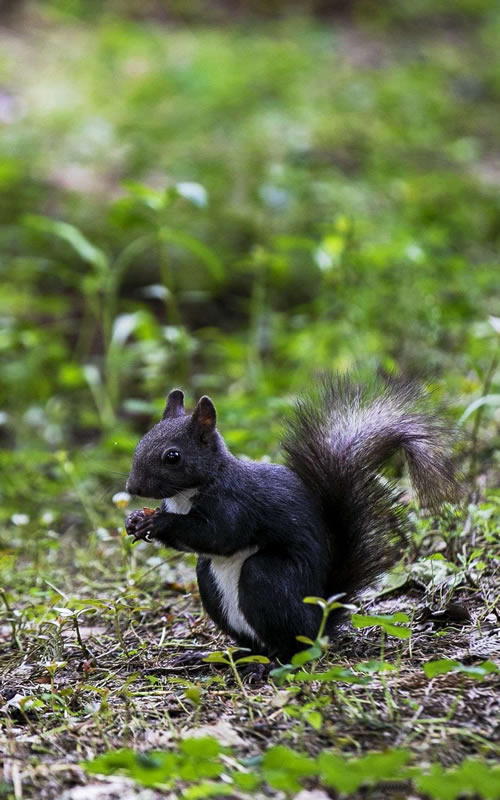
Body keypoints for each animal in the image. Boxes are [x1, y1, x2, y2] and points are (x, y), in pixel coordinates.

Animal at [126, 378, 460, 660]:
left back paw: (268, 663)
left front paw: (158, 522)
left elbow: (221, 536)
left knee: (290, 646)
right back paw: (224, 656)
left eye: (172, 456)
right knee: (254, 645)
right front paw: (135, 519)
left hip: (267, 578)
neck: (186, 495)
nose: (132, 487)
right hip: (209, 581)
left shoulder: (234, 504)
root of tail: (319, 623)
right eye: (140, 442)